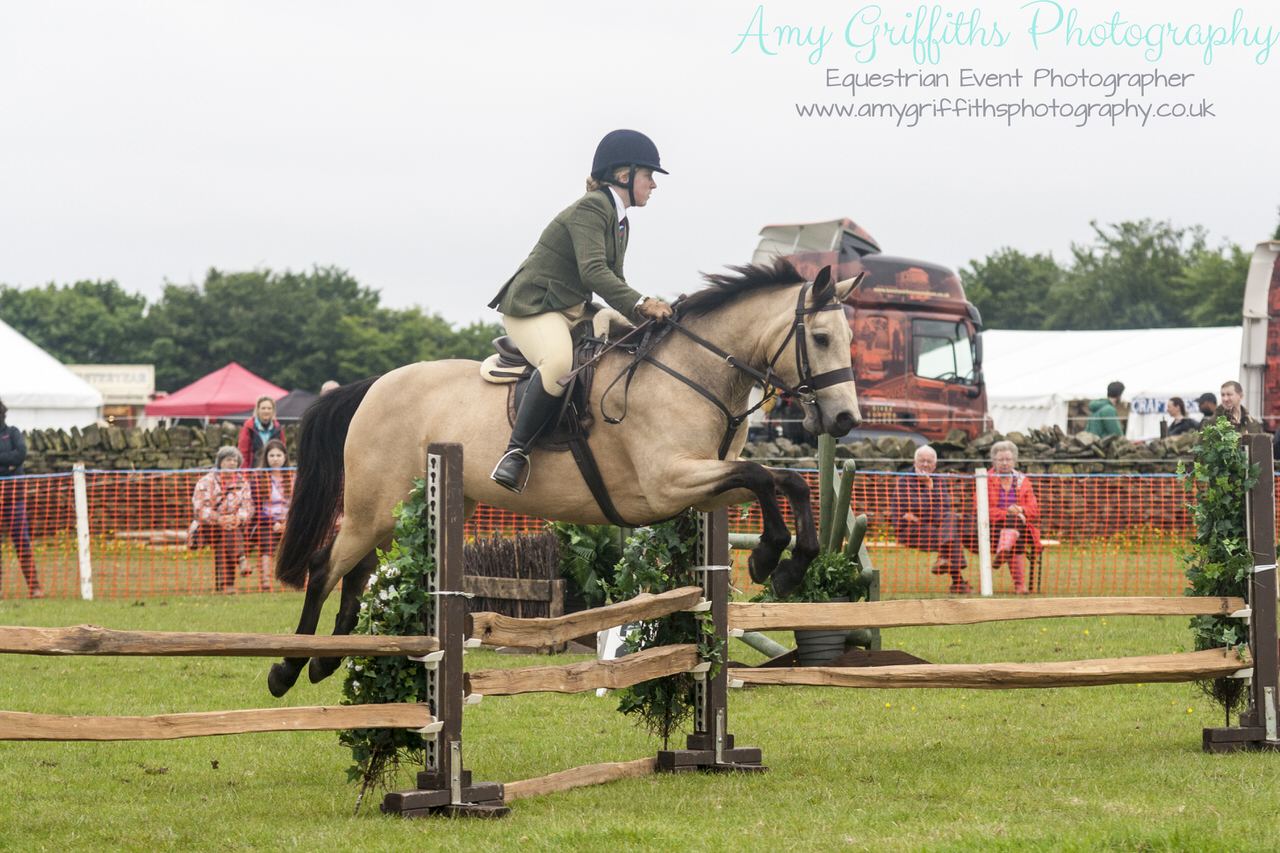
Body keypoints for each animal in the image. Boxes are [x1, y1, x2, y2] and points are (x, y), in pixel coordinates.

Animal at [266, 261, 860, 696]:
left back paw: (327, 662)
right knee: (325, 567)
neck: (694, 373)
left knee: (358, 571)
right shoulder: (669, 482)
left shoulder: (707, 482)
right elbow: (764, 475)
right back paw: (289, 668)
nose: (845, 420)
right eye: (822, 338)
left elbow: (785, 481)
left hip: (397, 511)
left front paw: (787, 565)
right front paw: (770, 559)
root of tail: (372, 386)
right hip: (375, 507)